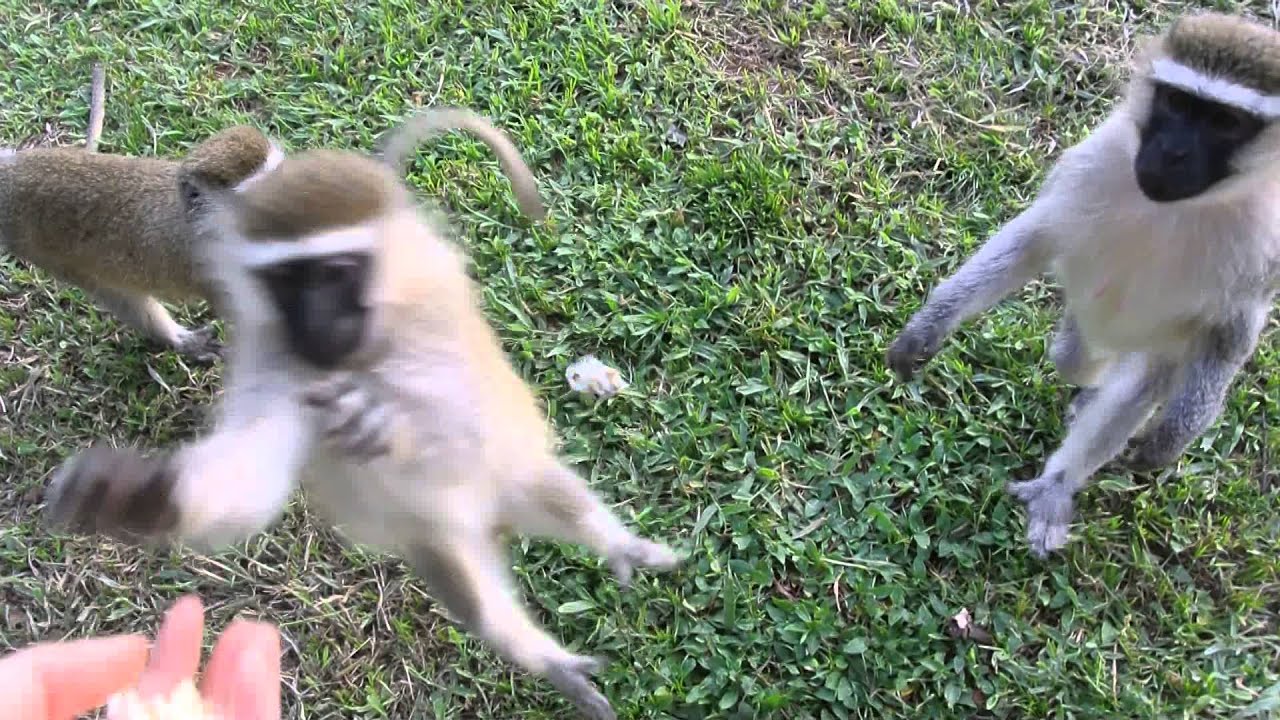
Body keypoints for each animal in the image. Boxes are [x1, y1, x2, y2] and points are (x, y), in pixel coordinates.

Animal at [41, 106, 680, 720]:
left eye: (336, 272)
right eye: (286, 280)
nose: (316, 323)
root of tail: (492, 518)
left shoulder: (432, 320)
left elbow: (465, 428)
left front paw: (382, 421)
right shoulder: (275, 351)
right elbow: (252, 482)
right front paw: (136, 496)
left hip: (506, 482)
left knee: (540, 483)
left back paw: (615, 545)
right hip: (441, 537)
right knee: (468, 589)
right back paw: (544, 659)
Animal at [885, 11, 1280, 559]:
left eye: (1225, 123)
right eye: (1177, 103)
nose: (1172, 153)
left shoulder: (1263, 247)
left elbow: (1229, 336)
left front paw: (1173, 435)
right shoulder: (1096, 162)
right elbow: (1034, 238)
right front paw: (929, 327)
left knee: (1141, 381)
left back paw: (1058, 483)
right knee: (1074, 357)